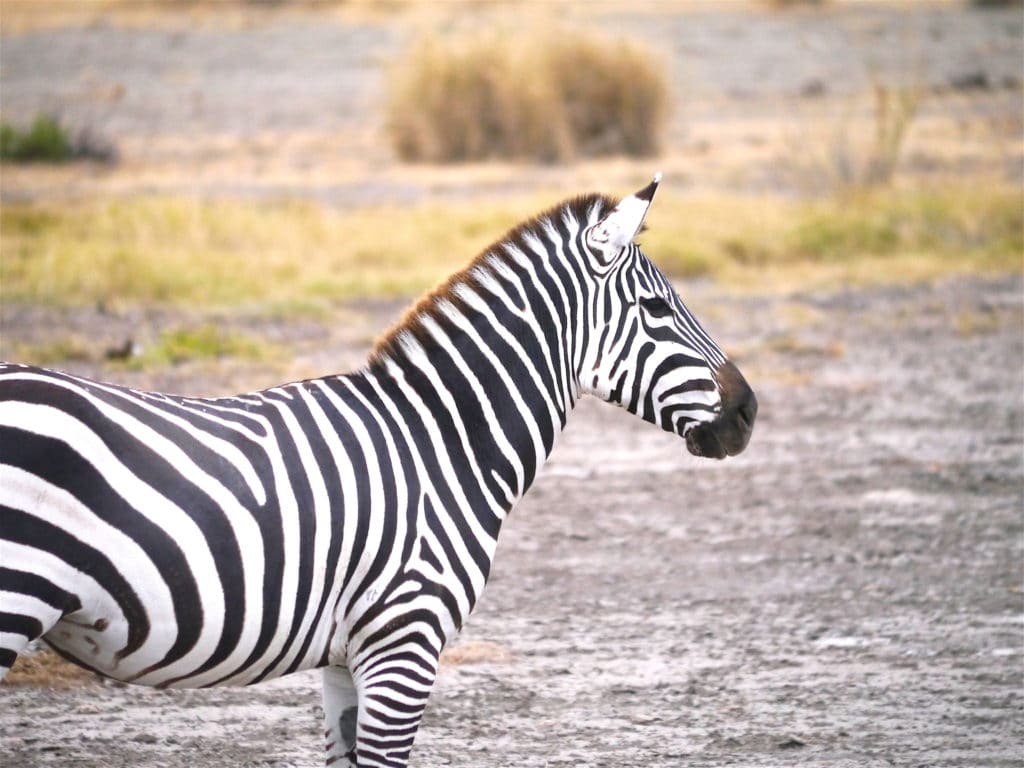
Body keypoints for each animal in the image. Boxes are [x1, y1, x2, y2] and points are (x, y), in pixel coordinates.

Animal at [0, 176, 753, 768]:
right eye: (656, 308)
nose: (748, 411)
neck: (439, 444)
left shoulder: (345, 656)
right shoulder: (405, 640)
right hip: (15, 597)